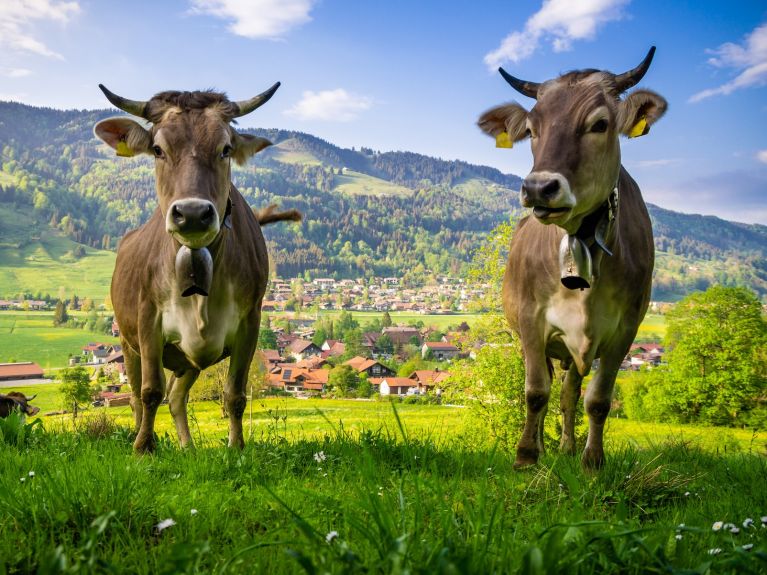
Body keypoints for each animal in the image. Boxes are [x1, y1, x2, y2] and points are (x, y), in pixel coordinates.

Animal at [94, 83, 300, 453]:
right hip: (128, 343)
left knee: (177, 397)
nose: (191, 213)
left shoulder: (250, 321)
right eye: (158, 149)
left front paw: (237, 448)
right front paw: (143, 448)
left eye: (225, 149)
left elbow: (234, 394)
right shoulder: (148, 318)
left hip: (188, 359)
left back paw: (187, 447)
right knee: (136, 396)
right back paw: (140, 434)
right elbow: (150, 391)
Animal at [477, 47, 667, 468]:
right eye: (531, 130)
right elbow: (535, 392)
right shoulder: (531, 319)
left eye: (599, 124)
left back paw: (566, 447)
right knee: (550, 387)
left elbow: (597, 400)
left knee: (569, 392)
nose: (538, 188)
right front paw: (526, 456)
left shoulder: (625, 329)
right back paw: (544, 446)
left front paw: (592, 460)